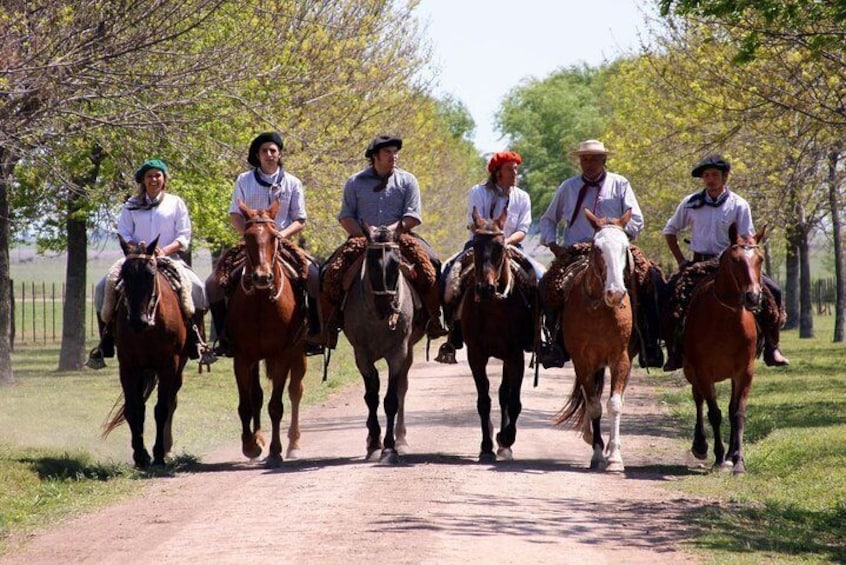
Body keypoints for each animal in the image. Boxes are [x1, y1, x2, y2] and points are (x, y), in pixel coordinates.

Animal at [102, 234, 189, 468]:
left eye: (150, 275)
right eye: (124, 275)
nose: (137, 321)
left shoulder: (168, 365)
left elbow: (162, 409)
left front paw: (158, 454)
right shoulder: (128, 367)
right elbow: (134, 409)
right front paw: (140, 455)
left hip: (178, 368)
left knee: (171, 402)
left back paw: (167, 449)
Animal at [230, 200, 310, 464]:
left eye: (274, 236)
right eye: (248, 236)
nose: (262, 277)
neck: (262, 303)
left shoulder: (282, 355)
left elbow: (276, 406)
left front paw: (275, 451)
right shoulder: (243, 357)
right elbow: (246, 404)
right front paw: (251, 445)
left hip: (298, 353)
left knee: (295, 391)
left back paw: (293, 443)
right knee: (256, 396)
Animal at [460, 207, 532, 462]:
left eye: (500, 246)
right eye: (475, 245)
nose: (485, 288)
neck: (494, 307)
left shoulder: (515, 356)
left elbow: (514, 401)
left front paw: (506, 438)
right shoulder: (476, 355)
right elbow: (484, 401)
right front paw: (486, 447)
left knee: (505, 395)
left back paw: (504, 443)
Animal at [552, 209, 640, 470]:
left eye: (625, 247)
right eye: (597, 248)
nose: (616, 293)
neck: (600, 310)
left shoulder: (621, 359)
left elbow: (614, 404)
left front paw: (615, 456)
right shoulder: (583, 362)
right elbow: (593, 405)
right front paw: (598, 452)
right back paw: (590, 436)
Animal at [684, 223, 768, 474]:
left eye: (760, 258)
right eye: (735, 260)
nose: (753, 297)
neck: (726, 319)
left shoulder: (745, 371)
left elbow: (737, 413)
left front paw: (737, 461)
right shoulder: (703, 371)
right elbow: (714, 412)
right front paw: (719, 457)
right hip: (691, 372)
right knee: (698, 399)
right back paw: (701, 444)